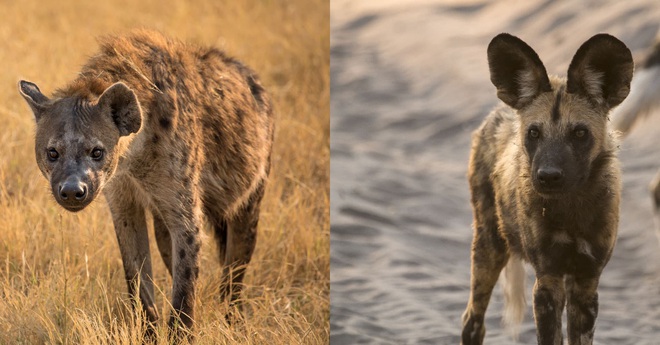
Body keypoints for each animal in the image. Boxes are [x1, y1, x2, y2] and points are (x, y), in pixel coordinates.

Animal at [18, 29, 274, 334]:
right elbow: (138, 276)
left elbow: (184, 288)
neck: (135, 159)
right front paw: (148, 331)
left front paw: (180, 333)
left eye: (97, 151)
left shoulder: (183, 204)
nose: (71, 191)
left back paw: (233, 318)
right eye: (52, 152)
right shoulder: (122, 200)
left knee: (235, 264)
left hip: (253, 187)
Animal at [462, 33, 632, 344]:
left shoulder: (586, 284)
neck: (570, 209)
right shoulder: (548, 281)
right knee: (472, 321)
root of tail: (500, 110)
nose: (548, 176)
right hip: (489, 247)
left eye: (579, 133)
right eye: (533, 133)